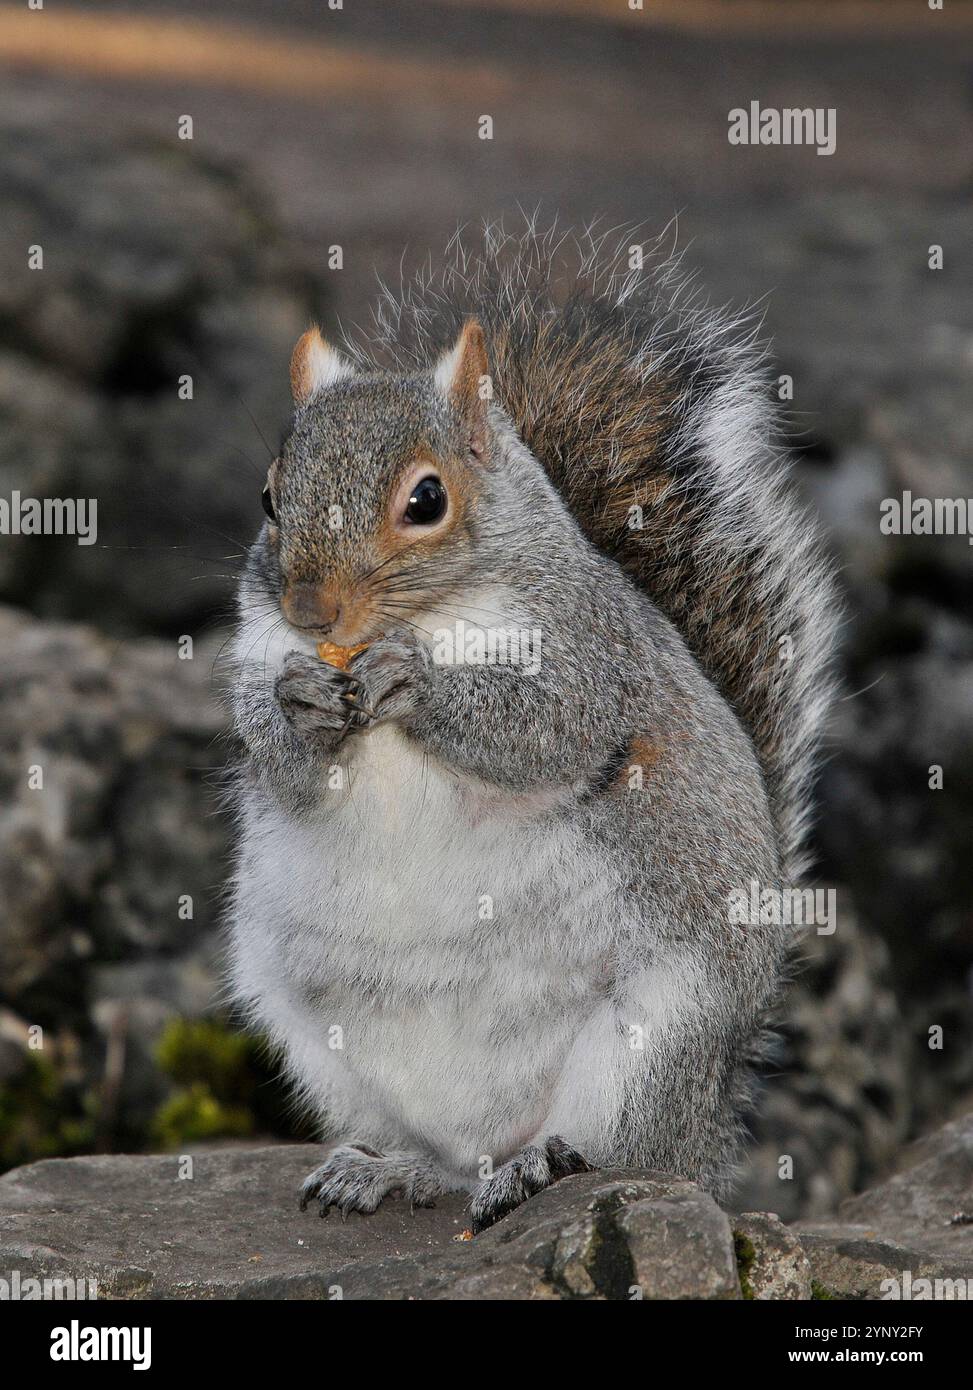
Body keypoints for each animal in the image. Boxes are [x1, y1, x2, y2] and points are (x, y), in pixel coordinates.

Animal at [226, 222, 837, 1233]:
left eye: (426, 500)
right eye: (271, 498)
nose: (311, 612)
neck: (430, 615)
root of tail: (708, 1141)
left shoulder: (587, 657)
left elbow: (543, 729)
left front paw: (420, 687)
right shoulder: (252, 649)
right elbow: (274, 759)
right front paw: (299, 709)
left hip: (649, 1044)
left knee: (622, 1154)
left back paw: (538, 1167)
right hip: (317, 1042)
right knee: (433, 1158)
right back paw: (387, 1169)